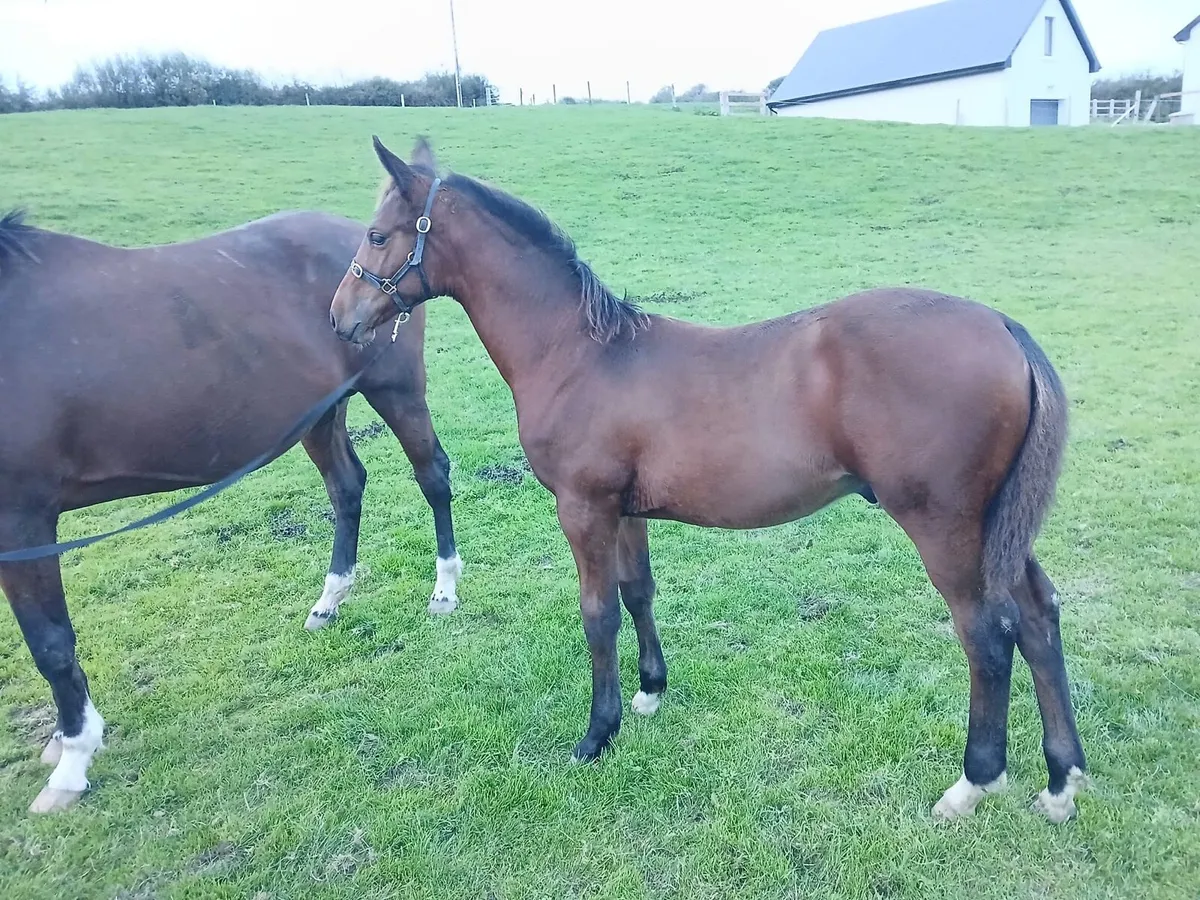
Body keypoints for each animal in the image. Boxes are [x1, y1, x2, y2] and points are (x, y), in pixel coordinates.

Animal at [0, 207, 464, 814]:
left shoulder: (23, 519)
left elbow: (51, 643)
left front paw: (73, 761)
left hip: (397, 389)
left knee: (432, 476)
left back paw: (445, 590)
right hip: (319, 414)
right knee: (346, 487)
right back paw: (330, 600)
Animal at [328, 135, 1089, 824]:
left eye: (377, 234)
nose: (339, 318)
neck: (580, 354)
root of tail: (1005, 327)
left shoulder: (582, 508)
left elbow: (597, 613)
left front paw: (596, 735)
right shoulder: (625, 510)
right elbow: (637, 592)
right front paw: (649, 694)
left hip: (945, 524)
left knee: (987, 635)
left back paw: (972, 784)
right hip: (997, 525)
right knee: (1038, 616)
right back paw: (1061, 782)